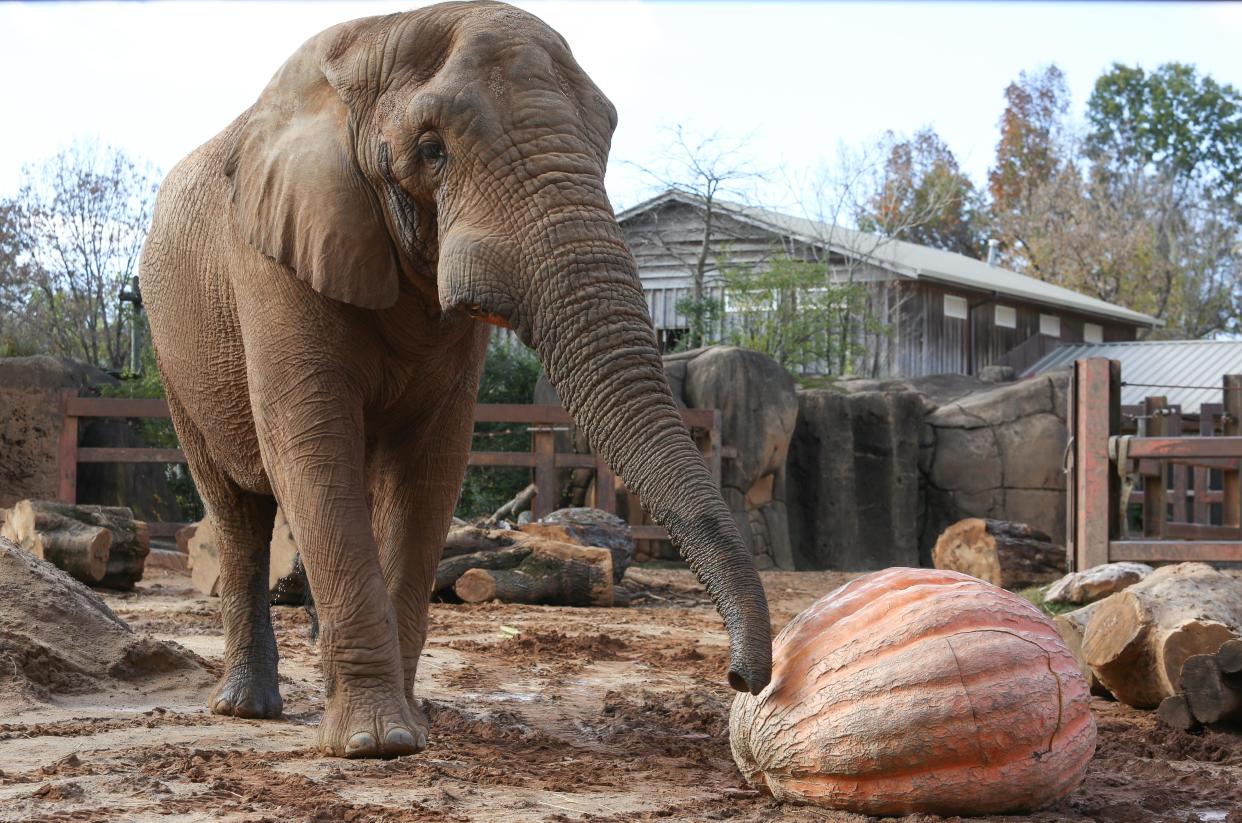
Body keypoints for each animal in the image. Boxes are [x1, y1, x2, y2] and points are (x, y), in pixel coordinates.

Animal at [140, 0, 770, 759]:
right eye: (432, 149)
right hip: (173, 353)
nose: (741, 678)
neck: (375, 37)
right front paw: (376, 744)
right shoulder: (267, 260)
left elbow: (430, 465)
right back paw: (247, 708)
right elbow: (312, 445)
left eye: (607, 137)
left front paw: (412, 729)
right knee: (237, 510)